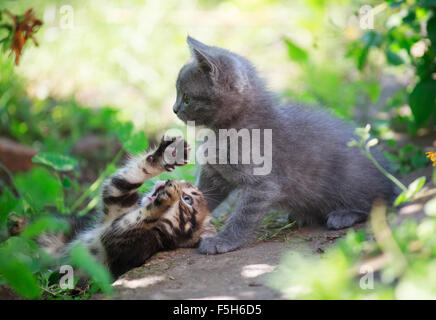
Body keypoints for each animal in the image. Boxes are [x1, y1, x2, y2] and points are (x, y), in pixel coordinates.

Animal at [41, 136, 215, 278]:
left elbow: (137, 218)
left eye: (187, 199)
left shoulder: (119, 240)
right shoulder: (116, 201)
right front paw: (169, 154)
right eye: (185, 183)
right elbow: (127, 178)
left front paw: (167, 198)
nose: (171, 181)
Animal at [172, 35, 396, 255]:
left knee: (377, 204)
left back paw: (343, 215)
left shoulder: (263, 185)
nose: (174, 109)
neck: (223, 132)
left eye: (187, 97)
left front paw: (223, 240)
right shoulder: (214, 175)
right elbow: (200, 197)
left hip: (351, 177)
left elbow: (243, 216)